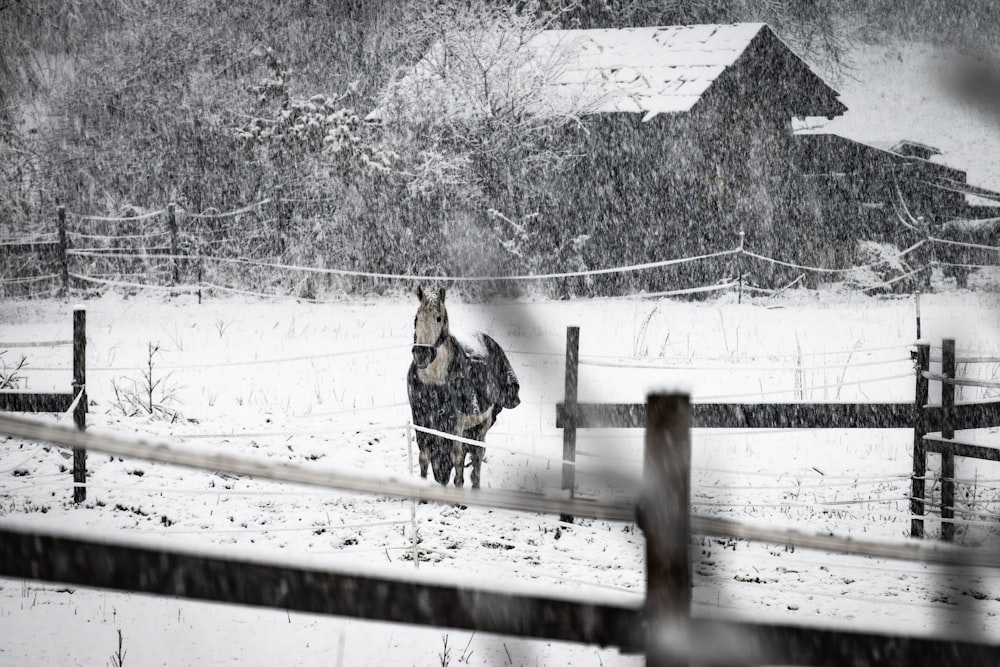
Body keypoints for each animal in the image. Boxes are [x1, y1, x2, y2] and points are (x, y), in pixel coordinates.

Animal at [406, 284, 520, 488]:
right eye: (416, 318)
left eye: (438, 318)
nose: (421, 354)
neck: (435, 381)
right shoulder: (421, 420)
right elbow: (424, 458)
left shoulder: (457, 425)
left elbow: (457, 460)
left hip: (483, 422)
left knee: (477, 454)